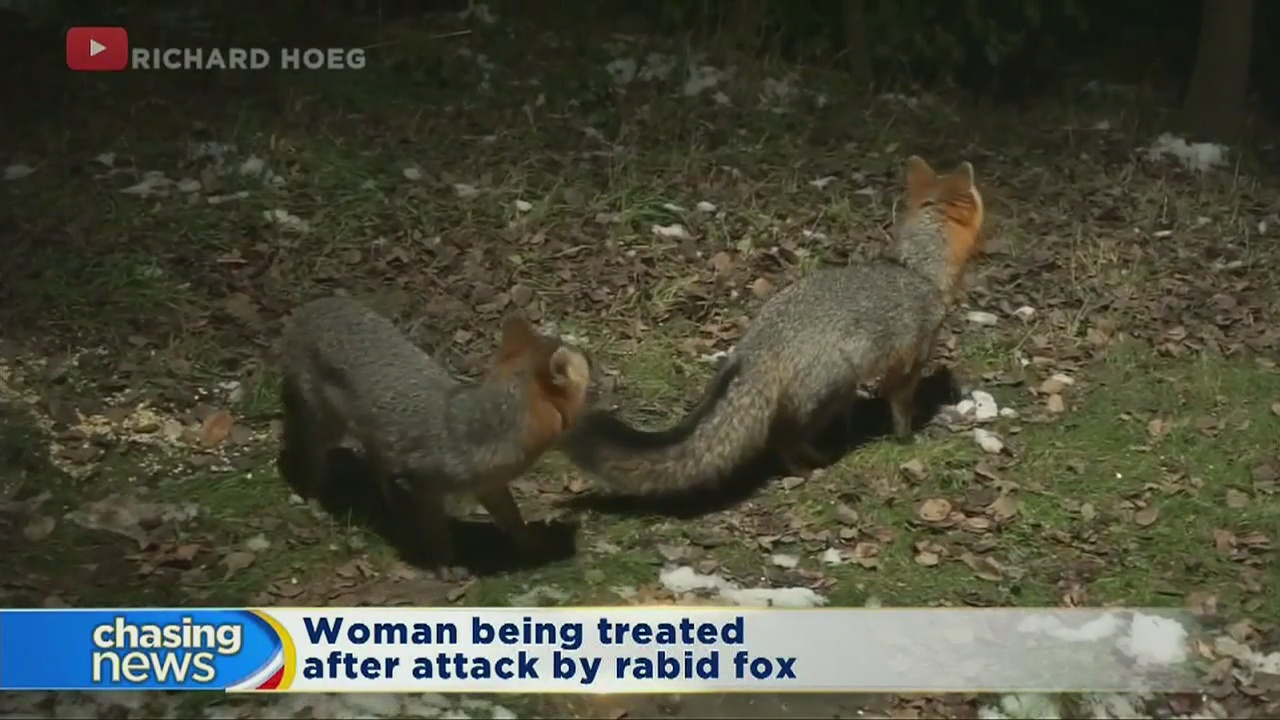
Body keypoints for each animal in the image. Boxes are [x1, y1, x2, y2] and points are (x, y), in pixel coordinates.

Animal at [278, 296, 592, 575]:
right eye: (582, 363)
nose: (589, 353)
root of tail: (311, 306)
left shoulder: (489, 485)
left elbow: (514, 521)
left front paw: (534, 547)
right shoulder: (426, 487)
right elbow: (438, 534)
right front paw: (445, 564)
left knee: (377, 461)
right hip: (328, 429)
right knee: (312, 458)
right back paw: (314, 498)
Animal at [563, 155, 985, 496]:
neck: (917, 269)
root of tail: (756, 349)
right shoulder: (909, 361)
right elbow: (900, 410)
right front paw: (906, 440)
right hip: (835, 388)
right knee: (779, 440)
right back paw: (807, 466)